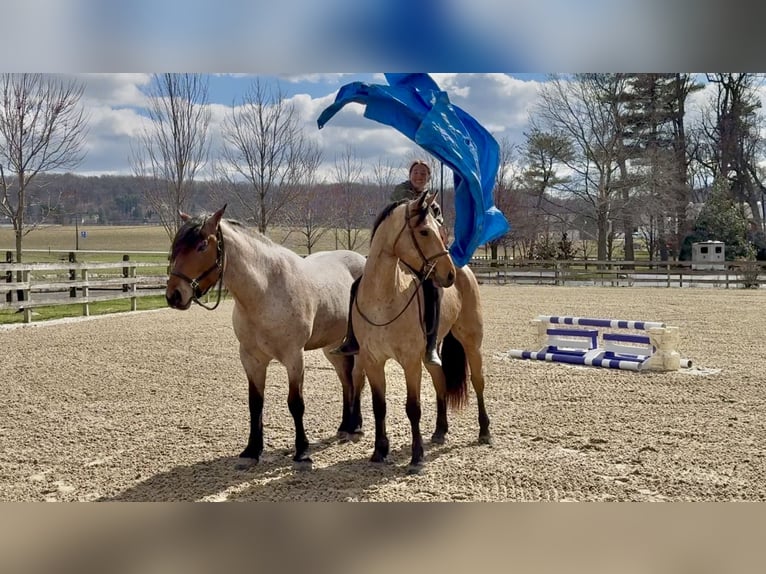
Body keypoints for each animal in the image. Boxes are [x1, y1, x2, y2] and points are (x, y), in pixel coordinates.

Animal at [165, 205, 366, 466]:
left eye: (201, 246)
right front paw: (252, 450)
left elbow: (296, 404)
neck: (266, 290)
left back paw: (356, 427)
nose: (174, 295)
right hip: (332, 346)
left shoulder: (294, 358)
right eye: (177, 248)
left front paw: (302, 451)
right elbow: (255, 403)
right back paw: (345, 426)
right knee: (346, 380)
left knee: (357, 379)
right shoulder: (252, 359)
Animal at [349, 191, 491, 474]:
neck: (383, 299)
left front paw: (416, 457)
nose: (448, 273)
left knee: (478, 382)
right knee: (441, 381)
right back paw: (440, 431)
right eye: (424, 231)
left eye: (440, 228)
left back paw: (484, 431)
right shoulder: (372, 361)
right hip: (430, 353)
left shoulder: (410, 362)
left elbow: (413, 408)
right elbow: (379, 405)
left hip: (471, 344)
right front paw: (379, 450)